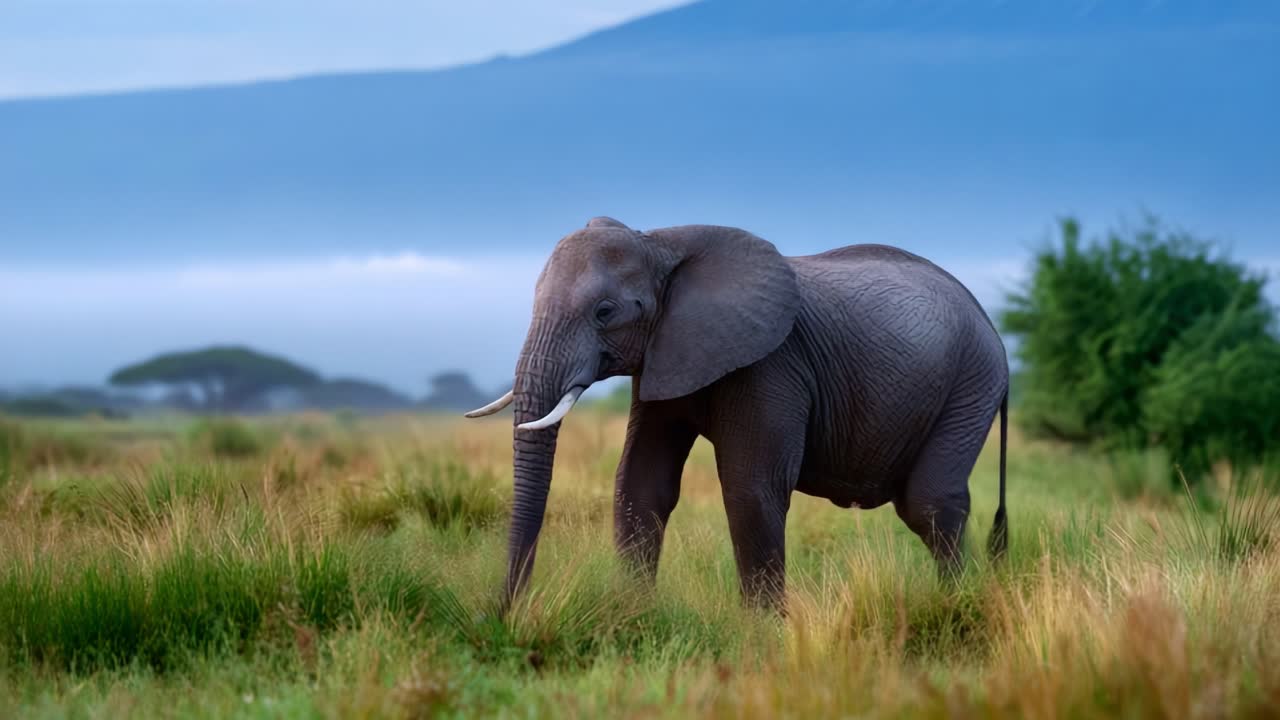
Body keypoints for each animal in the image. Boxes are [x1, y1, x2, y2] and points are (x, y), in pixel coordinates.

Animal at [466, 217, 1009, 611]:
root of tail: (991, 324)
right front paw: (633, 615)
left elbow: (751, 488)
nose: (508, 610)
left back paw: (958, 605)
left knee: (930, 504)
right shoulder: (667, 354)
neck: (659, 242)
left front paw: (763, 633)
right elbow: (640, 481)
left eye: (605, 311)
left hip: (971, 382)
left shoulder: (771, 364)